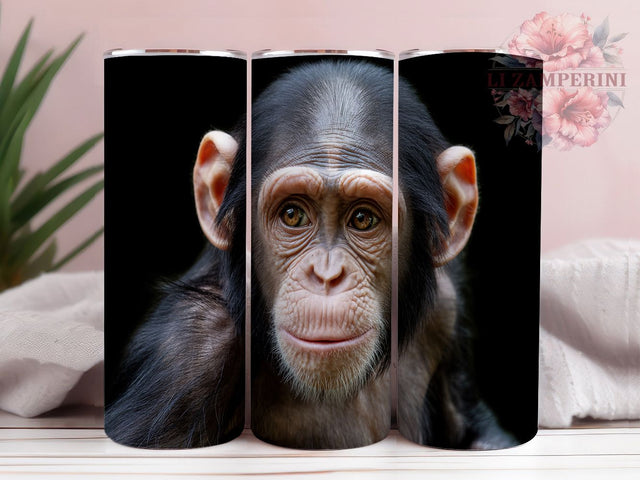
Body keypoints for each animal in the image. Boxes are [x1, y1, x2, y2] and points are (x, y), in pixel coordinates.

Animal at [105, 58, 516, 450]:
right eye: (293, 215)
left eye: (363, 219)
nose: (327, 275)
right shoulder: (188, 355)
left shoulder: (447, 303)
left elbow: (470, 430)